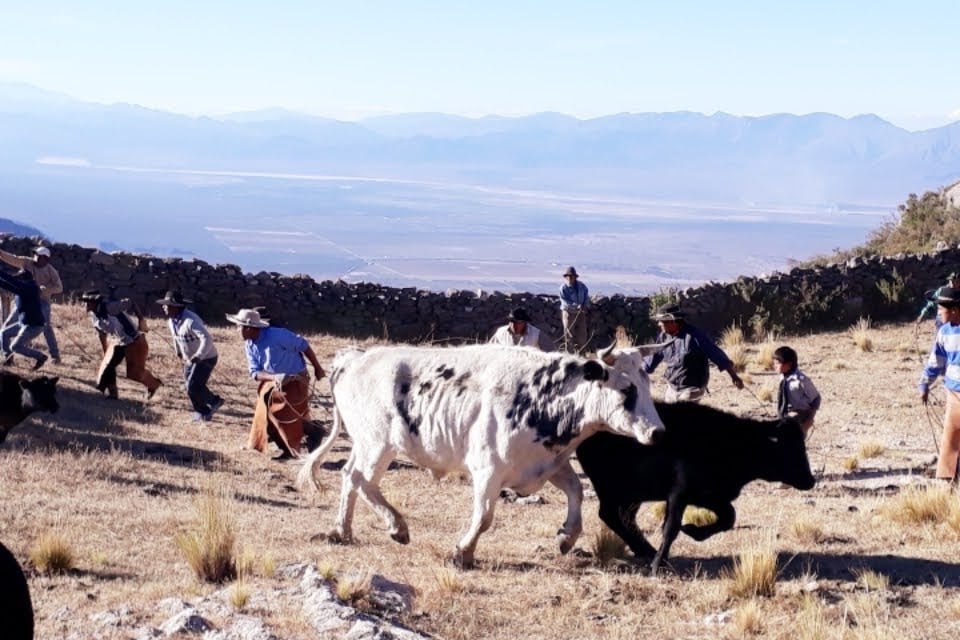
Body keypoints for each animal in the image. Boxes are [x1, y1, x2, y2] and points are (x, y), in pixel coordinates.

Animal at [298, 342, 666, 568]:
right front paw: (463, 552)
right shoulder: (488, 470)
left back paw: (342, 531)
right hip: (377, 445)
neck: (541, 398)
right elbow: (485, 516)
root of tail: (355, 358)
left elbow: (576, 492)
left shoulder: (547, 465)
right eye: (626, 389)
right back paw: (396, 527)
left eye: (647, 387)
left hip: (365, 445)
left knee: (349, 477)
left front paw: (565, 538)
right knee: (362, 480)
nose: (658, 433)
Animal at [576, 401, 816, 575]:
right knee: (610, 515)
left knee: (623, 518)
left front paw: (694, 532)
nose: (810, 480)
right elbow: (671, 528)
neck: (732, 444)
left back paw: (644, 550)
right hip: (612, 489)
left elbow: (729, 517)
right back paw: (648, 552)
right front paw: (658, 564)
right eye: (788, 448)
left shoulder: (711, 496)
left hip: (631, 494)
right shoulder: (679, 494)